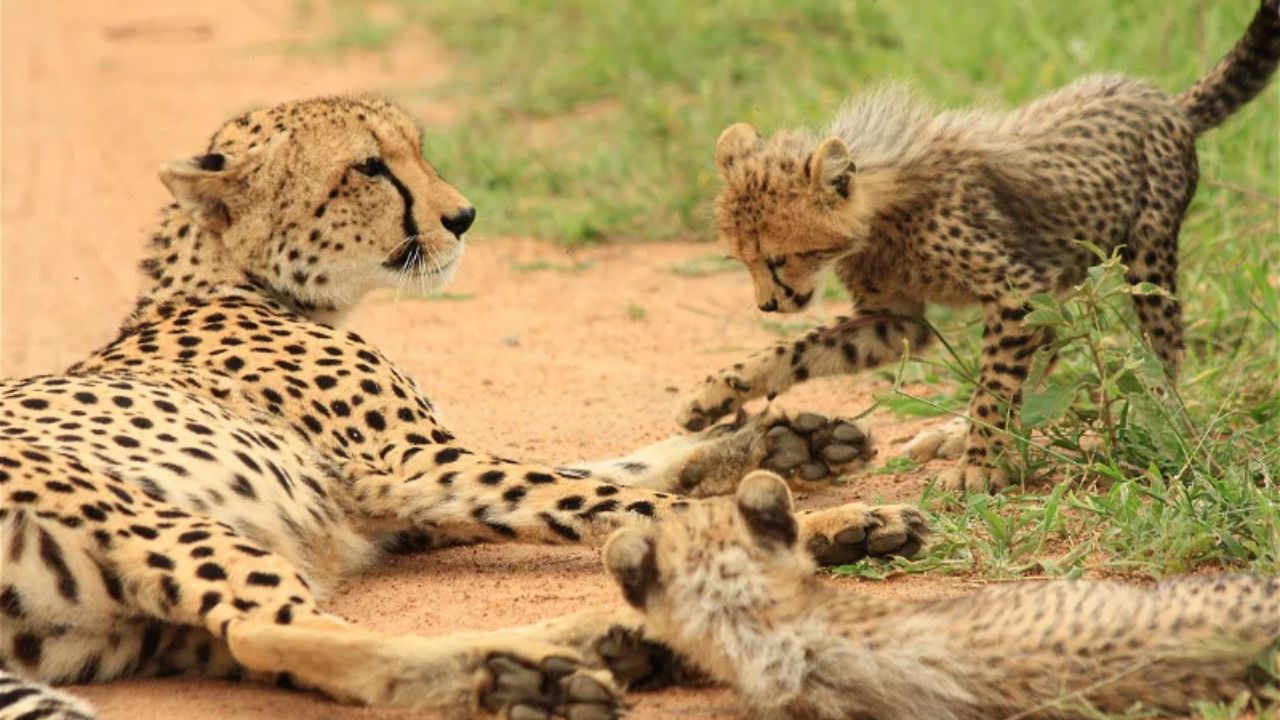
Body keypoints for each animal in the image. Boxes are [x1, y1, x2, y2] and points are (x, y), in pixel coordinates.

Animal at [0, 96, 929, 720]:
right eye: (368, 167)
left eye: (414, 147)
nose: (463, 215)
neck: (232, 279)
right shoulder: (414, 466)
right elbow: (605, 493)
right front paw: (827, 521)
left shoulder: (390, 504)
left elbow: (608, 470)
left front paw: (792, 445)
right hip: (149, 515)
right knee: (282, 635)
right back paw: (547, 669)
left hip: (130, 626)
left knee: (267, 646)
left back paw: (608, 643)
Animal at [677, 0, 1280, 492]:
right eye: (743, 260)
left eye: (779, 257)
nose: (767, 304)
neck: (882, 211)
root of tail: (1162, 98)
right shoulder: (894, 319)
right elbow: (795, 352)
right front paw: (714, 394)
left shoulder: (1015, 293)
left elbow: (994, 388)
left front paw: (979, 468)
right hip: (1064, 282)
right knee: (1049, 352)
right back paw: (964, 432)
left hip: (1146, 259)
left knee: (1163, 353)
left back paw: (1161, 423)